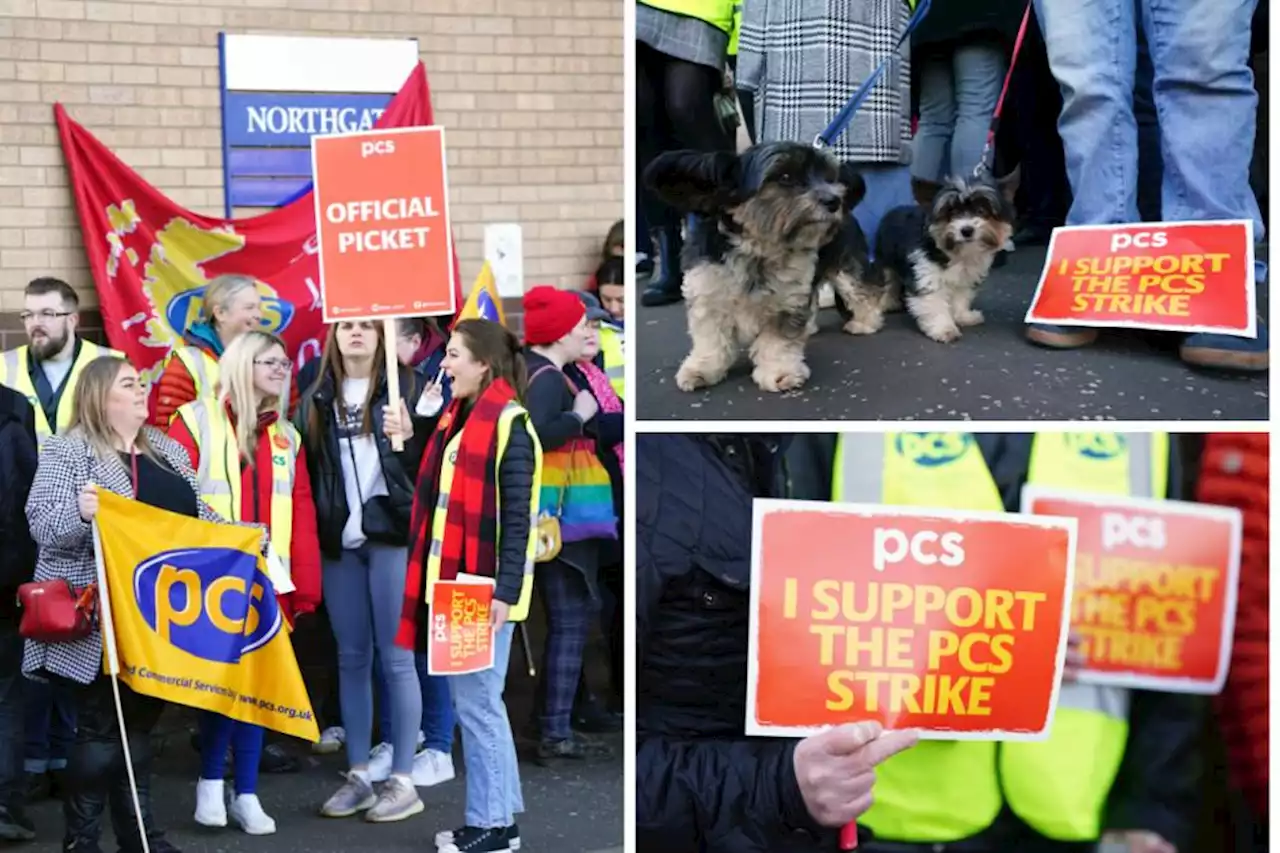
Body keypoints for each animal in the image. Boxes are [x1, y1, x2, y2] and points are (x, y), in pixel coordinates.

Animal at [645, 140, 875, 394]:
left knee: (862, 294)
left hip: (846, 270)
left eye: (828, 177)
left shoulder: (787, 301)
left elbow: (778, 342)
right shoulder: (707, 294)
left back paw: (865, 322)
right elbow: (710, 339)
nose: (834, 201)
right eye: (785, 176)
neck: (758, 249)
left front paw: (779, 372)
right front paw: (703, 368)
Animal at [855, 163, 1024, 340]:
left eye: (981, 211)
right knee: (889, 279)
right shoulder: (926, 272)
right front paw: (944, 328)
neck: (958, 254)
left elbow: (960, 297)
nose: (966, 230)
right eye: (952, 212)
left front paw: (963, 316)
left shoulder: (965, 277)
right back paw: (887, 302)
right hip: (885, 257)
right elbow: (934, 302)